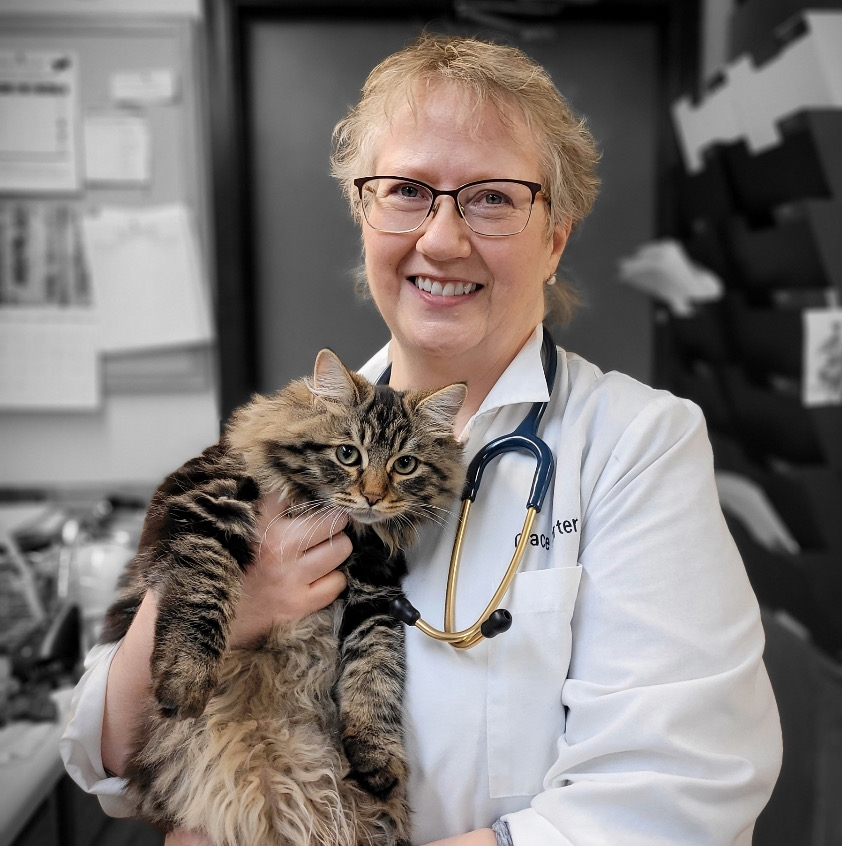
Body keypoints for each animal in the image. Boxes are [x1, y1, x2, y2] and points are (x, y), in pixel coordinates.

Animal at [100, 352, 466, 846]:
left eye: (405, 464)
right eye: (348, 454)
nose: (372, 496)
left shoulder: (375, 594)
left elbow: (374, 674)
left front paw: (376, 756)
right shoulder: (205, 503)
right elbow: (203, 589)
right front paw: (186, 679)